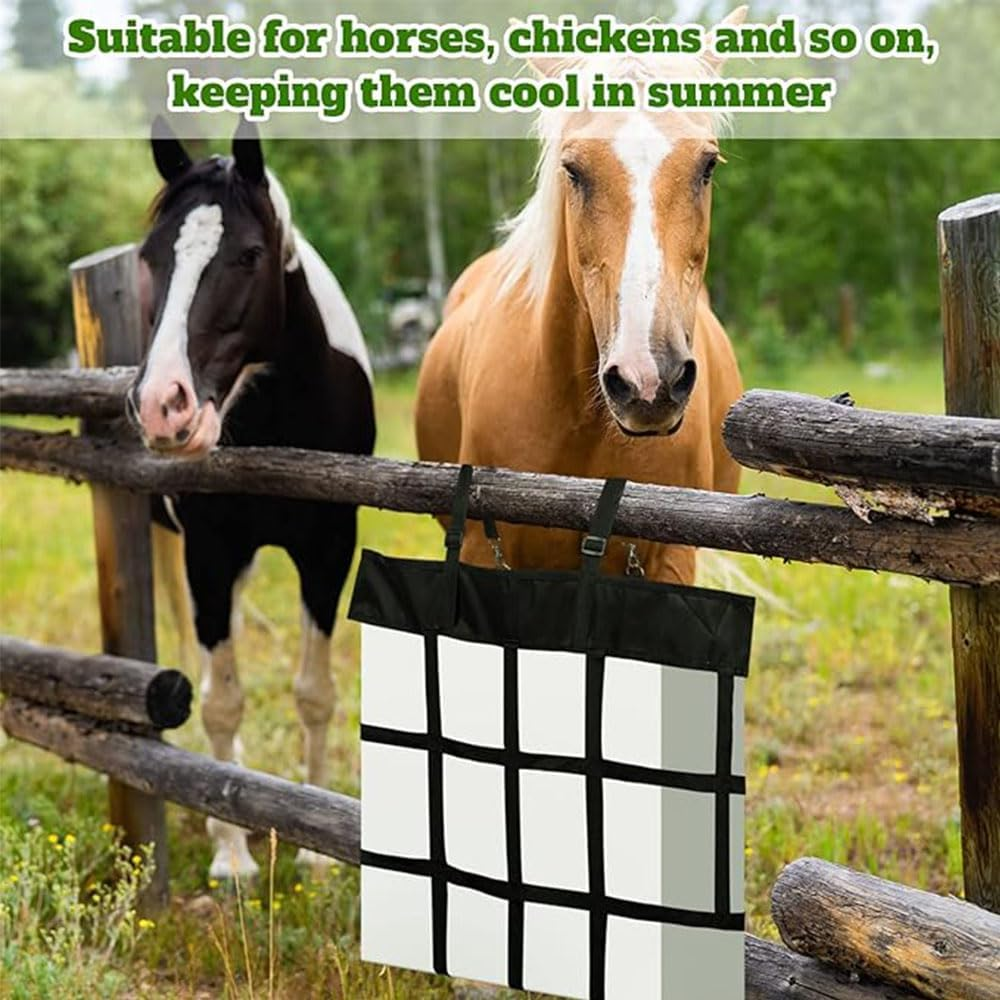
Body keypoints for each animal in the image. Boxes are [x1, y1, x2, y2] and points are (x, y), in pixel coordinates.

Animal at [128, 118, 376, 879]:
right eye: (151, 256)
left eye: (249, 254)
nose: (163, 405)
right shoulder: (209, 552)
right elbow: (221, 700)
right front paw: (232, 854)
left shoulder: (328, 550)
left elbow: (315, 695)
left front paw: (315, 855)